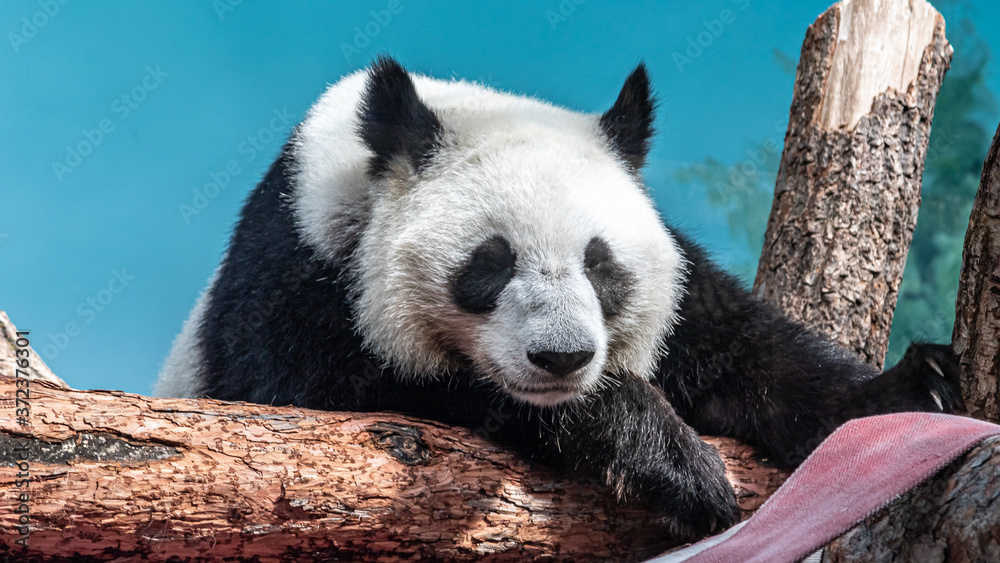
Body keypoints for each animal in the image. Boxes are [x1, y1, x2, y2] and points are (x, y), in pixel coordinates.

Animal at [157, 56, 961, 539]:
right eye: (491, 263)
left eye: (600, 265)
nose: (563, 358)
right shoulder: (298, 266)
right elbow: (337, 399)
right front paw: (660, 451)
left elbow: (741, 348)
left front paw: (914, 393)